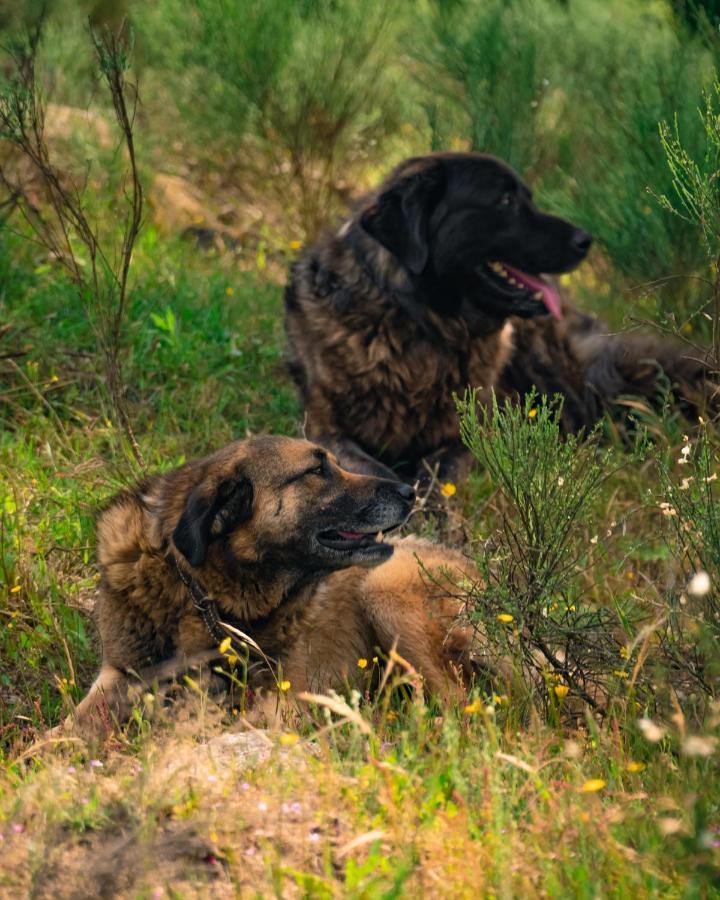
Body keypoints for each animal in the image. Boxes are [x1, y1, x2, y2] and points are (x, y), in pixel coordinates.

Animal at [282, 153, 716, 486]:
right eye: (505, 201)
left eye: (527, 198)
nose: (585, 240)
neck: (418, 327)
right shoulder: (324, 428)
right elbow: (373, 469)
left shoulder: (469, 435)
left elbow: (435, 472)